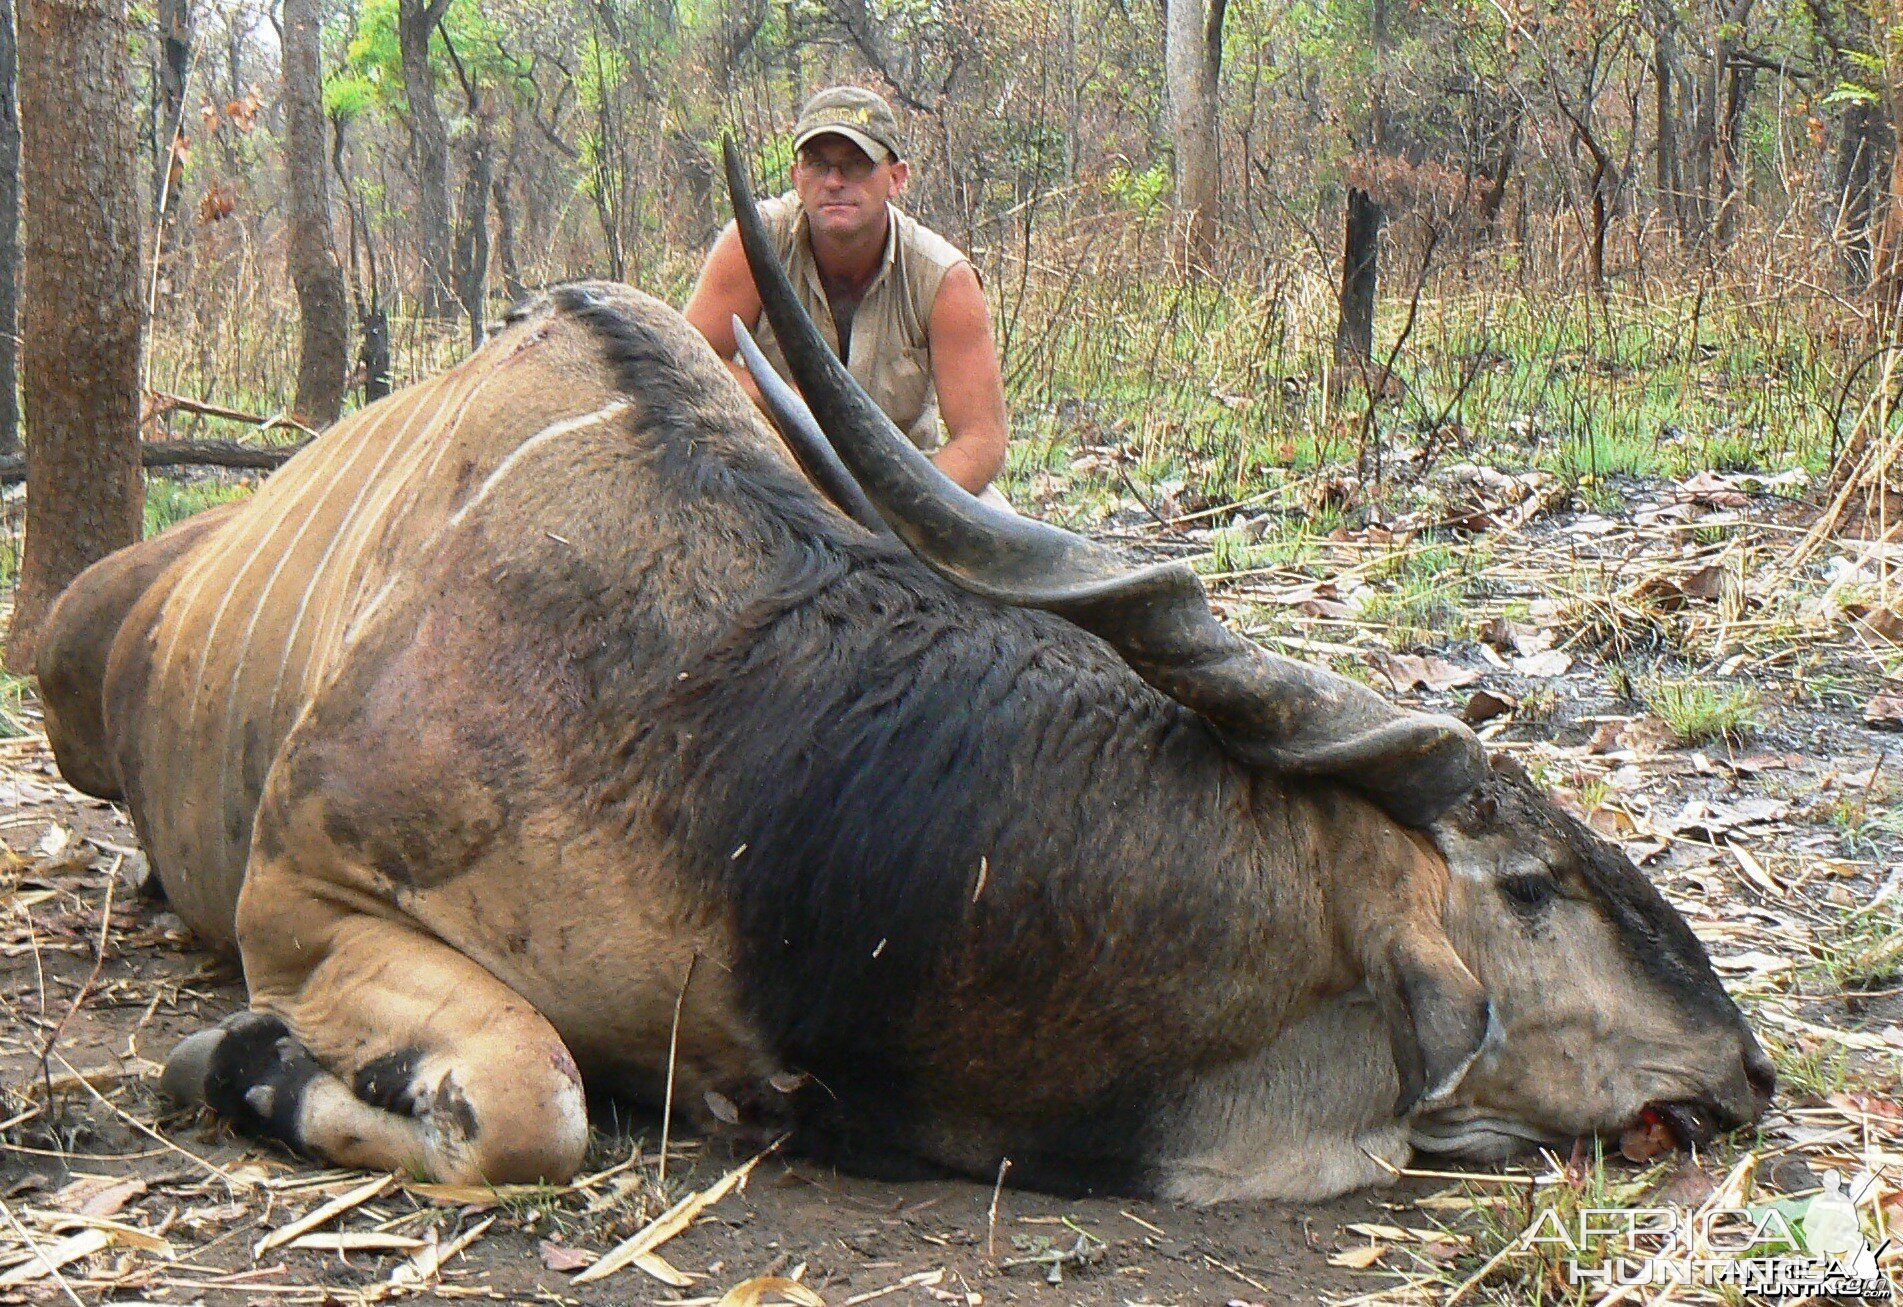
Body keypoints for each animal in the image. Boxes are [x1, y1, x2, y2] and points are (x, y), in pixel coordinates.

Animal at [33, 145, 1765, 1209]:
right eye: (1530, 883)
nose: (1741, 1067)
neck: (728, 741)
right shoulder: (300, 894)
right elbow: (532, 1103)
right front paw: (228, 1060)